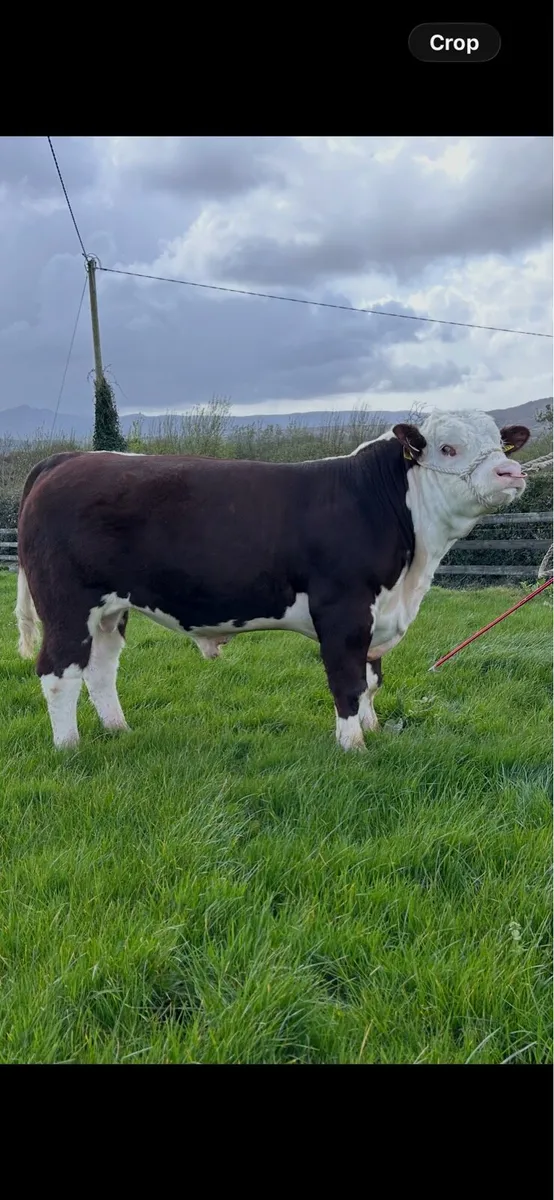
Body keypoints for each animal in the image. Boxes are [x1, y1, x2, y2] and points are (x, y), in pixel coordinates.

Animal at [14, 410, 529, 751]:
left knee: (100, 669)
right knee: (59, 672)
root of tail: (65, 459)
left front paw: (373, 729)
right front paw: (353, 746)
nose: (511, 471)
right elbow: (347, 681)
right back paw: (69, 747)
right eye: (448, 448)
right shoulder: (343, 611)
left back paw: (118, 730)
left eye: (499, 444)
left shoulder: (377, 614)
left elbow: (370, 680)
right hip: (66, 603)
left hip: (110, 609)